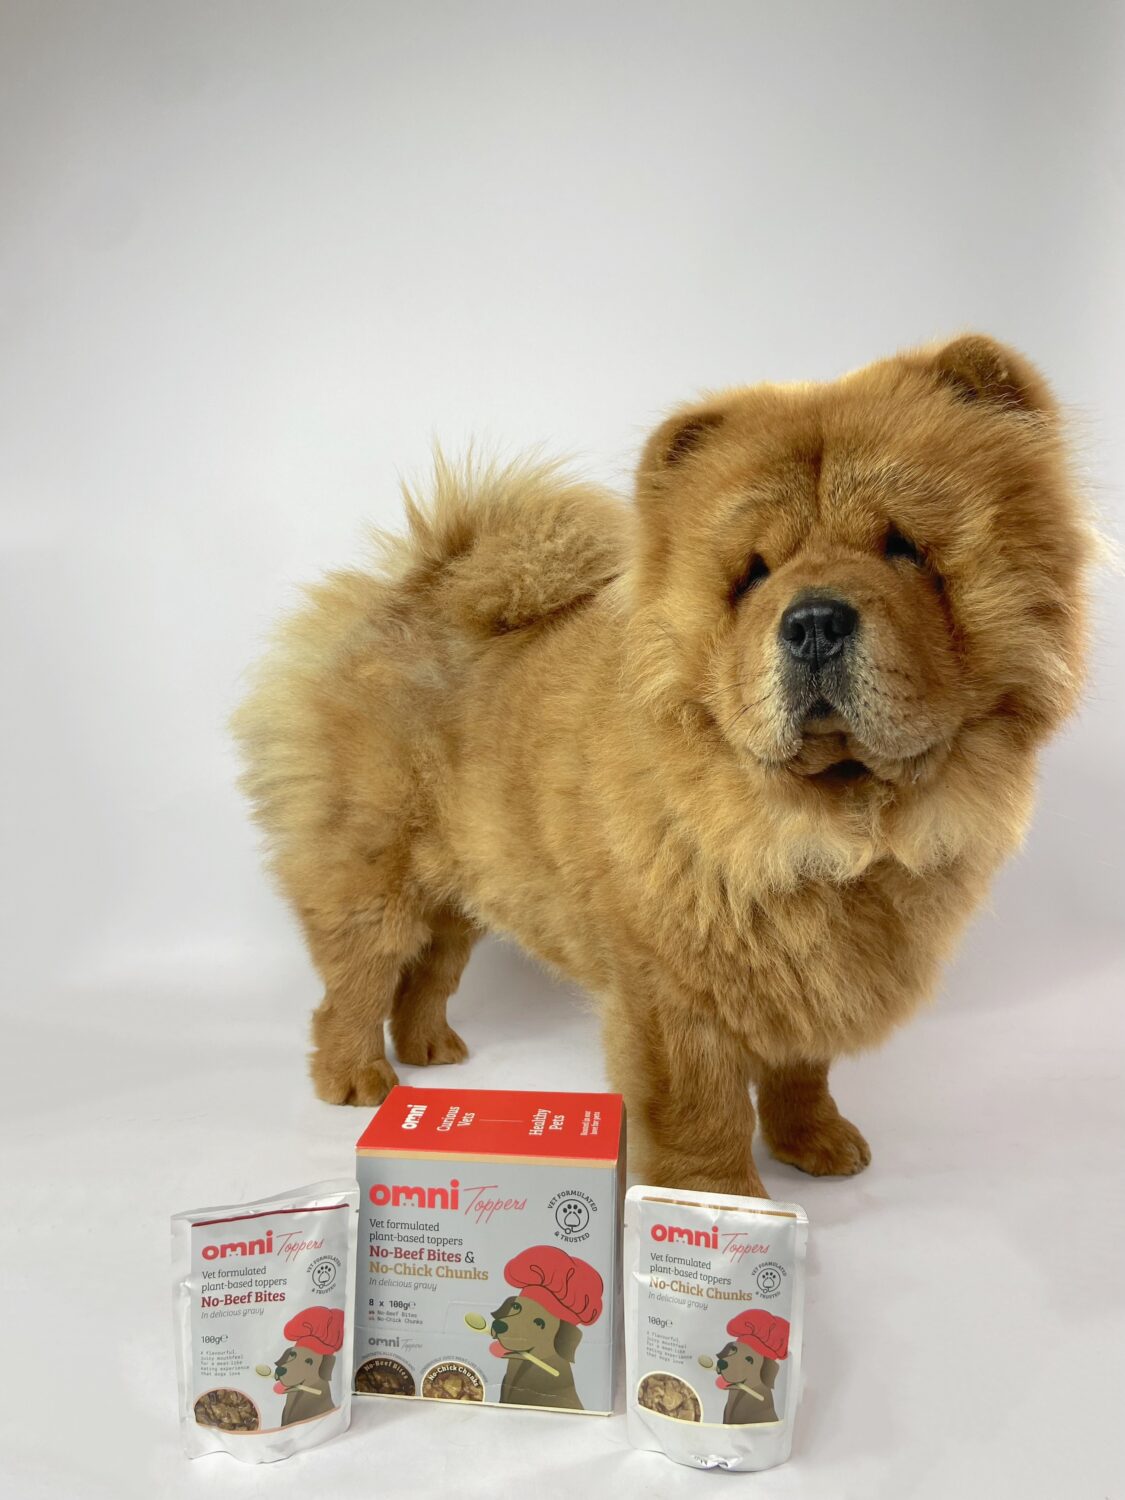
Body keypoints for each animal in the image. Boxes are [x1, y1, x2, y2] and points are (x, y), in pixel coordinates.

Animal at [233, 335, 1092, 1196]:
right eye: (752, 572)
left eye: (902, 548)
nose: (813, 620)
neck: (827, 820)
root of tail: (412, 593)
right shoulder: (673, 987)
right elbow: (700, 1108)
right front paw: (715, 1201)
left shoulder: (809, 967)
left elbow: (799, 1070)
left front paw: (815, 1146)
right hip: (371, 879)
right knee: (354, 983)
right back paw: (354, 1080)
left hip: (461, 890)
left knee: (427, 974)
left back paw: (433, 1052)